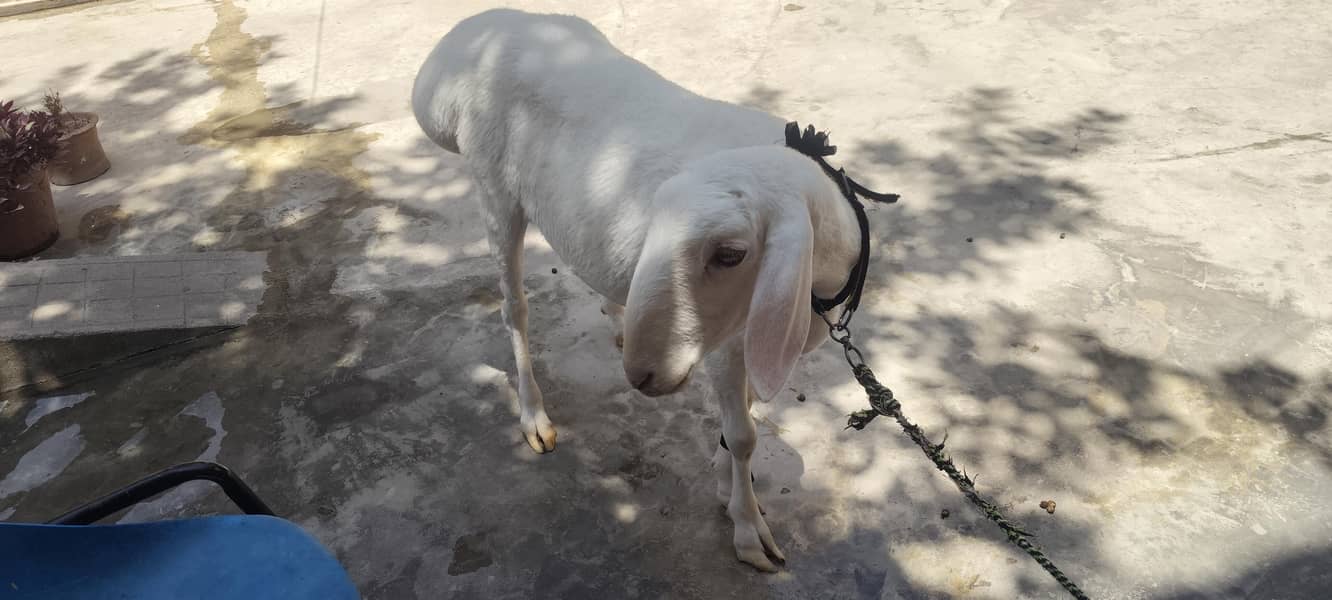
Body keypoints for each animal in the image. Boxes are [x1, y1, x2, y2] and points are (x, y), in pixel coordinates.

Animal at [411, 8, 862, 572]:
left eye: (730, 254)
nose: (642, 376)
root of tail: (481, 30)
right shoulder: (726, 343)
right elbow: (744, 436)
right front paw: (747, 530)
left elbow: (743, 418)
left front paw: (726, 485)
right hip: (494, 186)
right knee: (514, 309)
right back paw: (534, 414)